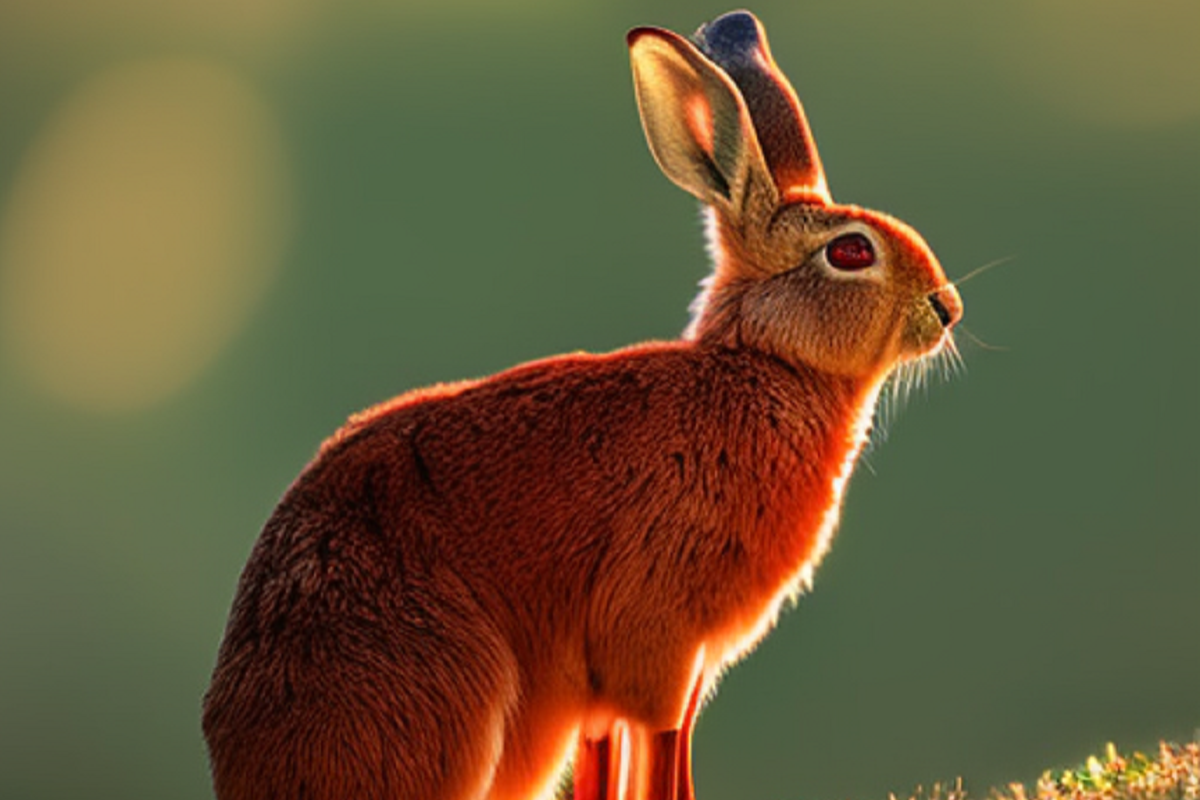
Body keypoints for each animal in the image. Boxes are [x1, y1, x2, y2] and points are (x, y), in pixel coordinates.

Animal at [201, 9, 963, 800]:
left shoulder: (645, 683)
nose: (948, 309)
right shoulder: (658, 638)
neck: (765, 365)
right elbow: (665, 752)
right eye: (852, 253)